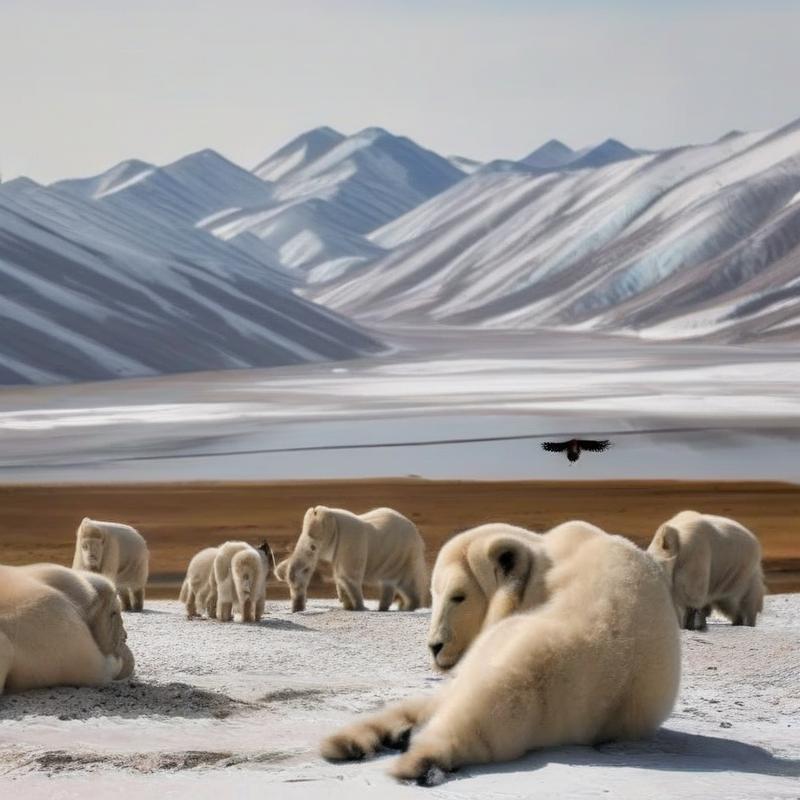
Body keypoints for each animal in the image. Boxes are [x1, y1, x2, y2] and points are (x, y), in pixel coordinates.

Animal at [276, 506, 428, 612]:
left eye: (312, 547)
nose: (297, 610)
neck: (331, 517)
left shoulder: (350, 540)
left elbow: (348, 576)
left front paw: (360, 608)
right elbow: (341, 577)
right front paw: (348, 607)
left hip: (405, 553)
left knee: (407, 581)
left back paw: (408, 607)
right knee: (391, 582)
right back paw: (386, 608)